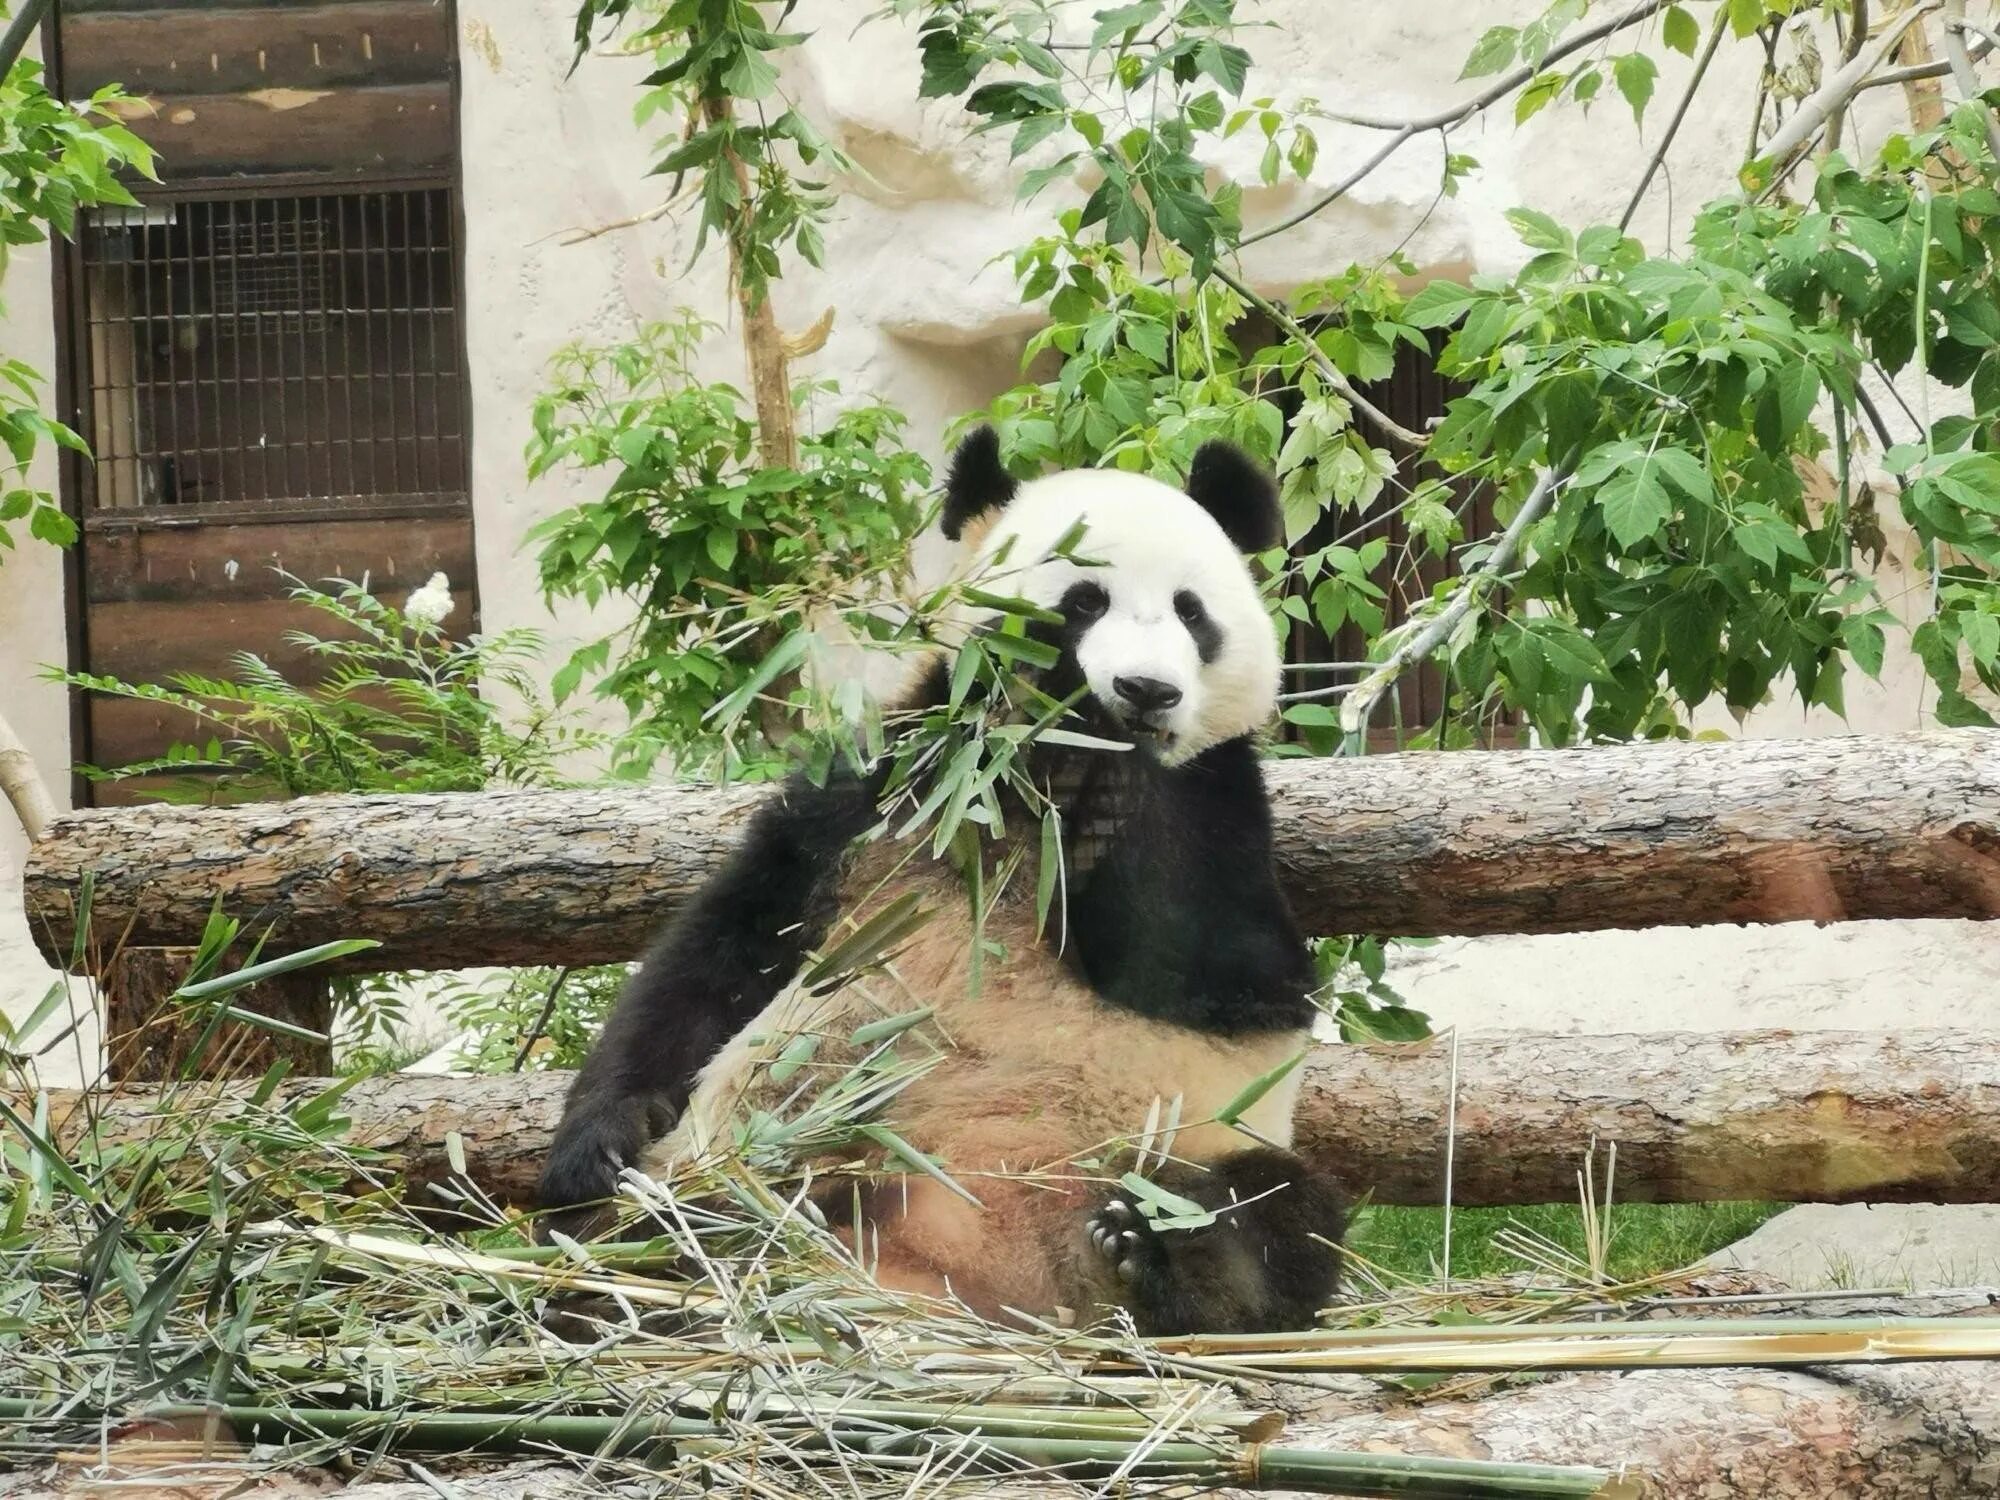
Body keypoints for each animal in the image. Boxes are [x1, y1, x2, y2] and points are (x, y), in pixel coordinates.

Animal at [544, 428, 1344, 1336]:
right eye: (1083, 601)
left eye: (1191, 612)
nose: (1147, 691)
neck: (1029, 781)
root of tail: (969, 1279)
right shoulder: (884, 789)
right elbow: (724, 951)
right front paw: (596, 1142)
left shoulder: (1224, 801)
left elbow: (1224, 969)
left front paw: (1113, 793)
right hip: (757, 1163)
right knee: (668, 1223)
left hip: (1195, 1141)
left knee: (1280, 1217)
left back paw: (1160, 1251)